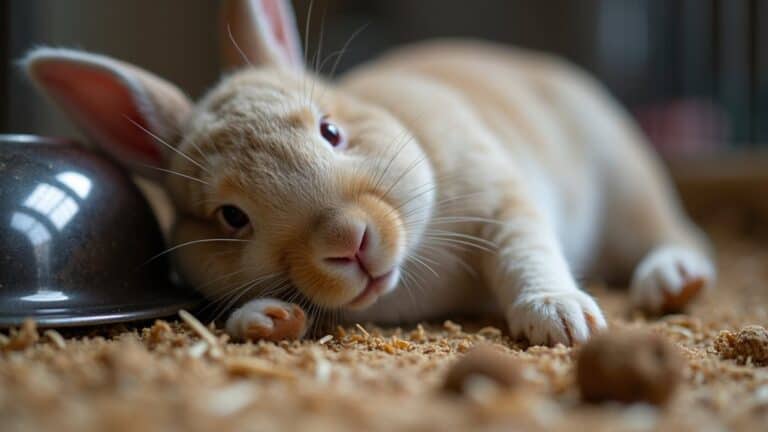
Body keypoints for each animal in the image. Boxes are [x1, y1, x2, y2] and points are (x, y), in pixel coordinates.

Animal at [22, 0, 715, 346]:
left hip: (628, 189)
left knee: (677, 235)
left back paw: (671, 282)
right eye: (231, 217)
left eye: (331, 132)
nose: (348, 241)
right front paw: (267, 321)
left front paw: (561, 318)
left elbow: (524, 250)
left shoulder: (501, 198)